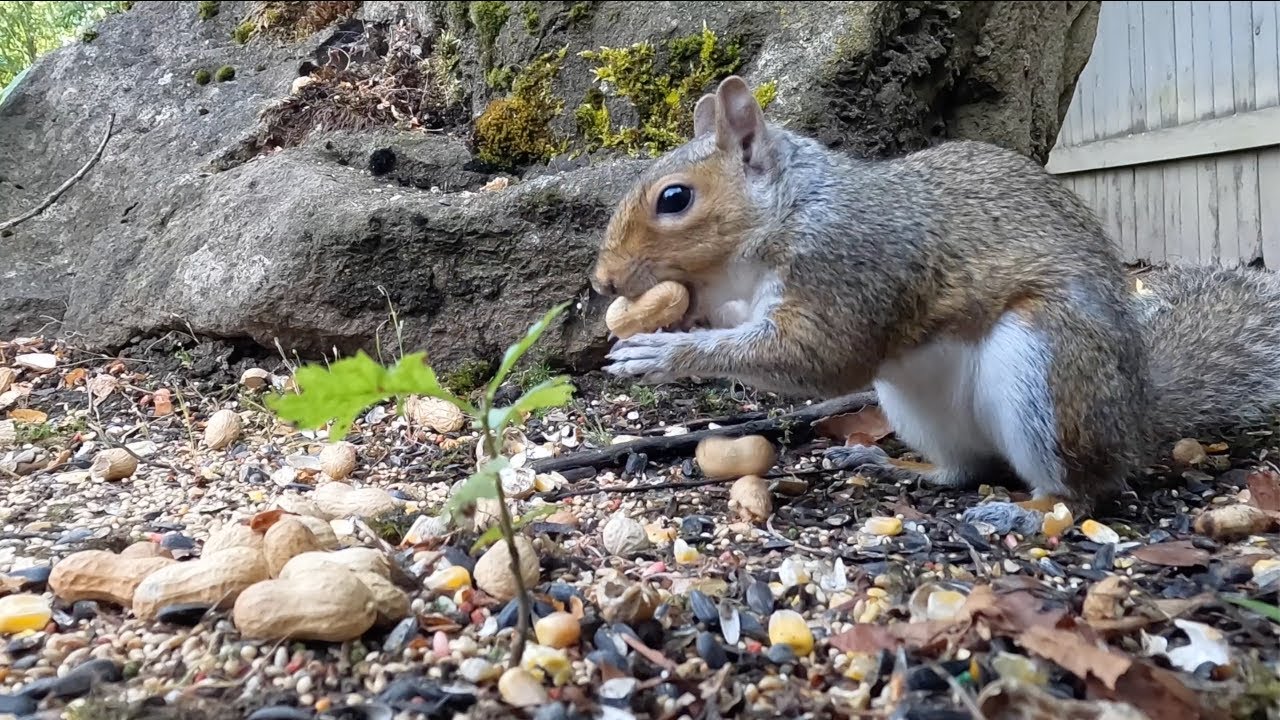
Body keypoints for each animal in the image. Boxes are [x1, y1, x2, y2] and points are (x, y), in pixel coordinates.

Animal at [590, 74, 1280, 527]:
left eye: (675, 198)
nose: (603, 281)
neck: (788, 212)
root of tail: (1137, 419)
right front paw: (679, 321)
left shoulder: (852, 264)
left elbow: (822, 359)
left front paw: (662, 353)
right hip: (921, 407)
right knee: (965, 468)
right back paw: (906, 469)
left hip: (1050, 367)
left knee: (1082, 491)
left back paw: (1031, 508)